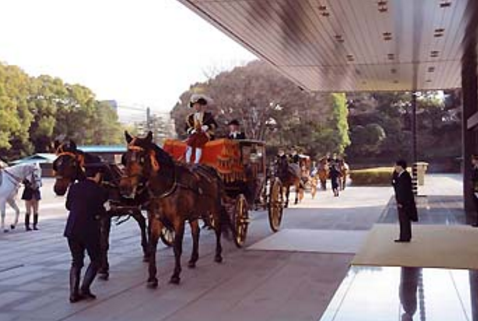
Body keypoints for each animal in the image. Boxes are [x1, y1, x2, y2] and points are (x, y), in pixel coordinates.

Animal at [52, 139, 149, 278]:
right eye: (56, 164)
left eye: (72, 164)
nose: (58, 189)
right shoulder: (97, 218)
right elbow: (98, 241)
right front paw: (101, 266)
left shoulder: (105, 216)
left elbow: (104, 243)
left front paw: (104, 268)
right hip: (131, 207)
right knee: (141, 220)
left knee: (142, 222)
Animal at [120, 131, 231, 286]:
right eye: (125, 158)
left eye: (142, 158)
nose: (124, 187)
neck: (166, 188)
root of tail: (212, 171)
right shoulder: (156, 220)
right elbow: (153, 246)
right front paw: (152, 277)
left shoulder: (178, 220)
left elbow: (177, 247)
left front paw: (175, 274)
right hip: (193, 213)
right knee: (196, 232)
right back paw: (193, 259)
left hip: (215, 208)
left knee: (218, 229)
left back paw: (218, 254)